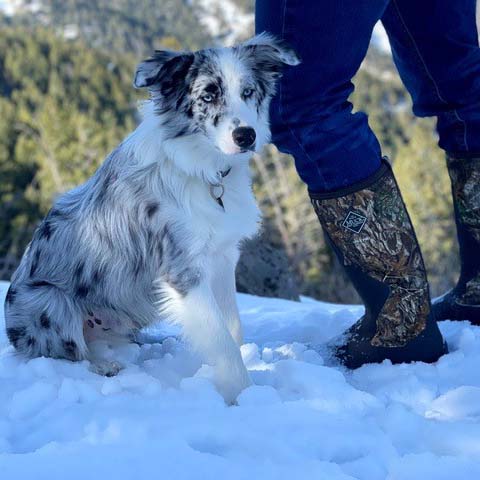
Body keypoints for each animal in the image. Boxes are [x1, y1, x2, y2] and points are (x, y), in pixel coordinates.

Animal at [3, 31, 300, 404]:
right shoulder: (183, 270)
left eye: (248, 91)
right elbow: (222, 341)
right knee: (69, 353)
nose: (246, 136)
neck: (202, 169)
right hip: (49, 302)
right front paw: (246, 398)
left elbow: (233, 326)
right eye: (208, 95)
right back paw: (104, 366)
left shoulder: (222, 256)